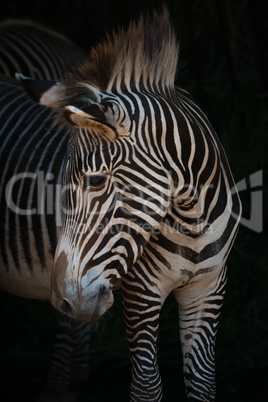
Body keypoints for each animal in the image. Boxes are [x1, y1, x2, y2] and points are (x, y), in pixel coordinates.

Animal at [14, 9, 242, 402]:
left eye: (95, 181)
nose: (62, 301)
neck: (192, 222)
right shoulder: (140, 293)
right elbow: (147, 387)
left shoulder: (208, 288)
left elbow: (202, 383)